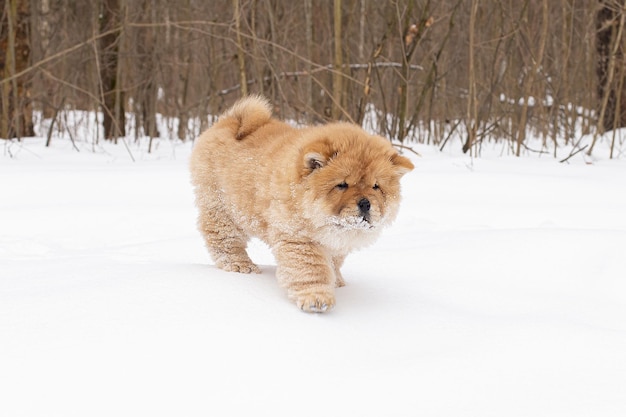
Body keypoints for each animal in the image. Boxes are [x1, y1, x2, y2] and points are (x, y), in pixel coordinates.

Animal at [190, 96, 414, 312]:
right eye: (342, 185)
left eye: (376, 187)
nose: (366, 203)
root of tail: (231, 120)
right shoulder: (298, 239)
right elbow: (311, 269)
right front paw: (316, 298)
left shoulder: (336, 244)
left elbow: (333, 262)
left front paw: (337, 281)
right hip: (222, 208)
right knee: (224, 240)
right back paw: (239, 264)